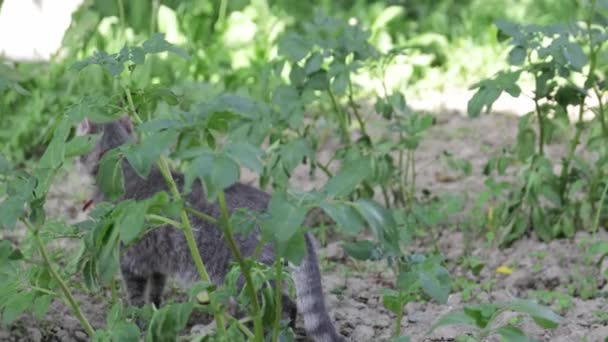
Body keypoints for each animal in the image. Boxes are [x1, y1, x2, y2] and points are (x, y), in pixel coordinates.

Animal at [78, 118, 344, 342]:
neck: (125, 166)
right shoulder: (157, 262)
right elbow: (155, 291)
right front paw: (153, 310)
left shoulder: (130, 260)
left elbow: (135, 296)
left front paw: (136, 317)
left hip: (248, 274)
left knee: (284, 306)